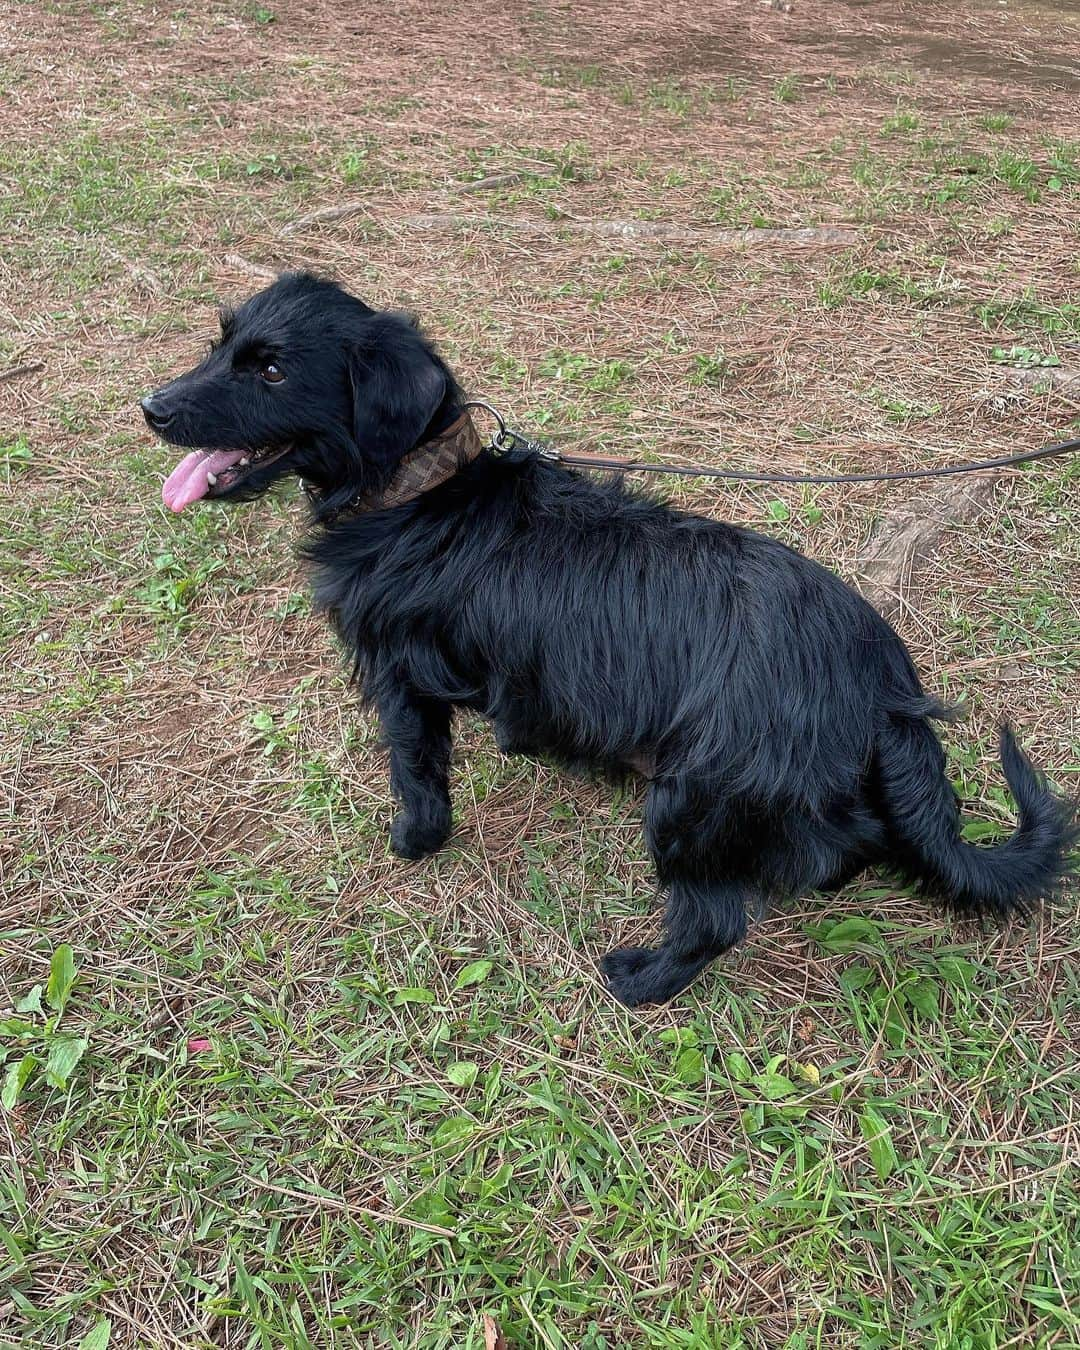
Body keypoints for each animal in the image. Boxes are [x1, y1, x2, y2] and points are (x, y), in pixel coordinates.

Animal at [141, 271, 1069, 1004]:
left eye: (271, 368)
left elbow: (416, 772)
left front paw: (416, 842)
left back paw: (640, 982)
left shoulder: (401, 682)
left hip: (693, 801)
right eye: (222, 344)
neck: (420, 493)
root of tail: (882, 682)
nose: (150, 407)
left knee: (715, 920)